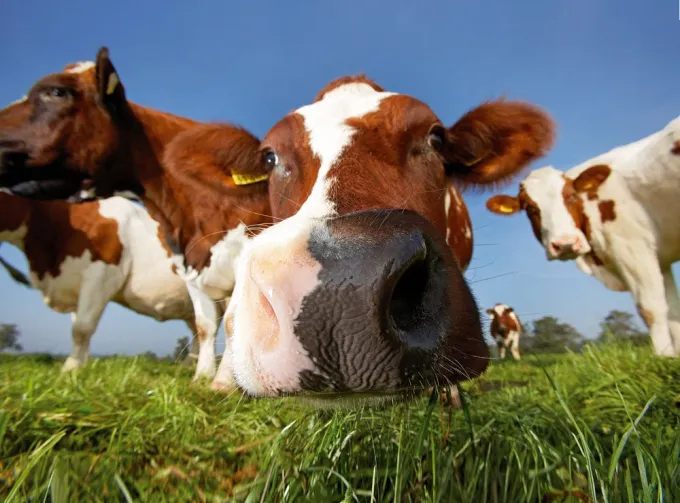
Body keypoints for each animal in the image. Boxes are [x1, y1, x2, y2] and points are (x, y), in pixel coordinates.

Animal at [0, 192, 198, 371]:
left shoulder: (101, 276)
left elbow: (82, 328)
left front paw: (70, 368)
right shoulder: (77, 288)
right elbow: (78, 328)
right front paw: (80, 366)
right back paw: (187, 366)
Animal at [486, 115, 680, 357]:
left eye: (571, 196)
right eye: (529, 208)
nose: (565, 244)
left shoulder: (633, 249)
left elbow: (651, 309)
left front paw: (664, 357)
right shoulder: (660, 259)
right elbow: (673, 312)